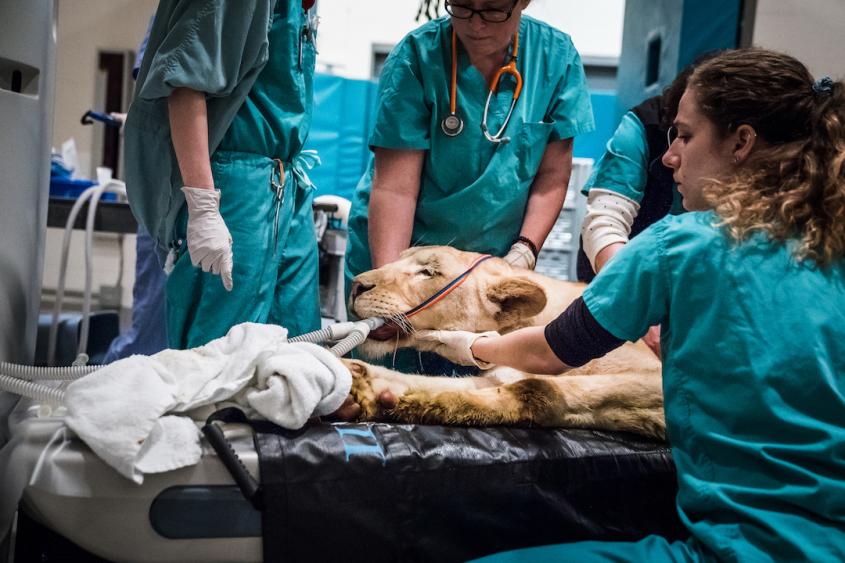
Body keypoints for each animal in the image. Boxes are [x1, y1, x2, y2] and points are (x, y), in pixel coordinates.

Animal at [340, 247, 668, 440]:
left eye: (428, 272)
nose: (356, 285)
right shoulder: (498, 372)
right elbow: (441, 384)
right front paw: (365, 385)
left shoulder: (657, 378)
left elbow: (537, 389)